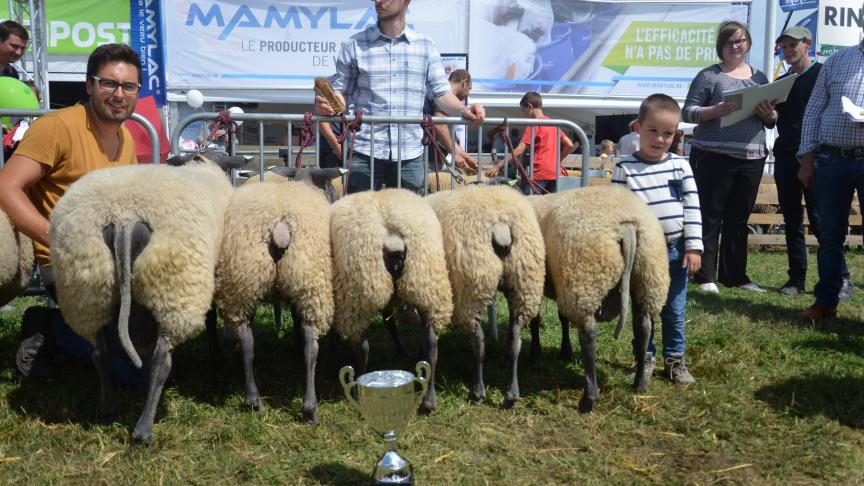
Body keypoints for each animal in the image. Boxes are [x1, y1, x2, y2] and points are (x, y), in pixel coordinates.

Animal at [50, 151, 243, 444]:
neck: (204, 165)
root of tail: (124, 217)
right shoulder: (211, 271)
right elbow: (210, 319)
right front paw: (217, 356)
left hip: (87, 289)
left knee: (100, 353)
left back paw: (107, 410)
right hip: (175, 285)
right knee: (161, 360)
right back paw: (143, 430)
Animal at [213, 167, 340, 422]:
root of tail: (280, 226)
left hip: (243, 283)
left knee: (246, 339)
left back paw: (254, 400)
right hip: (312, 282)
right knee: (311, 342)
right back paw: (309, 408)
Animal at [330, 188, 452, 412]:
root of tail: (392, 237)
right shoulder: (389, 300)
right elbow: (391, 326)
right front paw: (402, 351)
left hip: (361, 292)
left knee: (363, 347)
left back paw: (359, 389)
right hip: (426, 284)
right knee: (431, 345)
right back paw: (429, 400)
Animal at [426, 185, 544, 406]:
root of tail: (500, 225)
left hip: (471, 285)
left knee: (478, 341)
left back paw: (477, 391)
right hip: (524, 280)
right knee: (514, 338)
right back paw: (512, 393)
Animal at [528, 186, 672, 414]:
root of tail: (627, 224)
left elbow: (536, 320)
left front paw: (535, 354)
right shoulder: (560, 282)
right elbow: (562, 318)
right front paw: (565, 351)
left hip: (584, 276)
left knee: (589, 334)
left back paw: (589, 399)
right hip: (649, 275)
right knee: (643, 328)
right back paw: (640, 383)